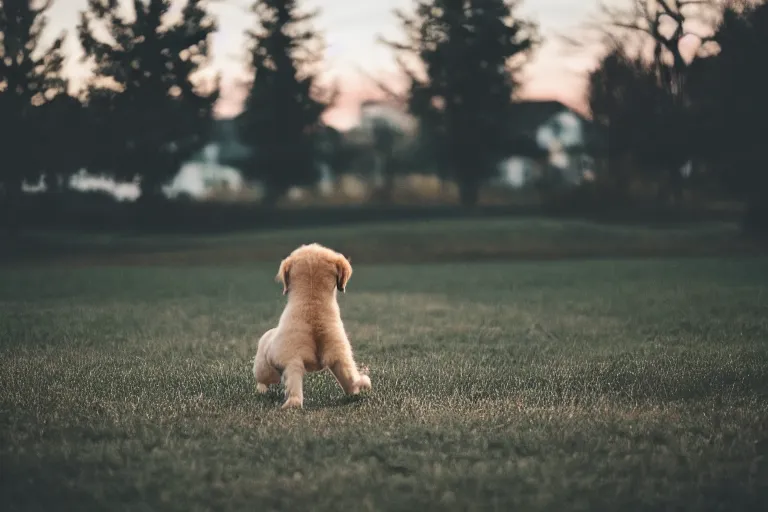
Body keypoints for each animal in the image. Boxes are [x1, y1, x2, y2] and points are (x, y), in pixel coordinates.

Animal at [254, 243, 370, 408]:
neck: (312, 306)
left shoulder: (337, 356)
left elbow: (349, 378)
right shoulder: (337, 355)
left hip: (270, 369)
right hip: (275, 367)